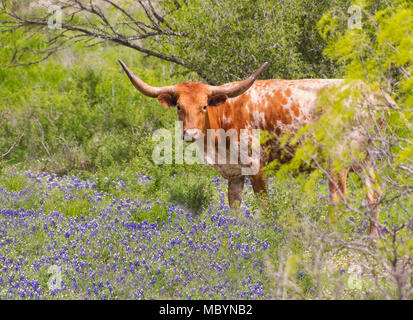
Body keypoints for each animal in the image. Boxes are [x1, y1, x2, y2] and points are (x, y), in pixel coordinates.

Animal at [118, 59, 384, 235]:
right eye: (179, 107)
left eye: (204, 106)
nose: (190, 134)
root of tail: (371, 94)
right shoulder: (235, 174)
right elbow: (235, 206)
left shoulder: (256, 166)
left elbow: (264, 205)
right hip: (365, 159)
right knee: (373, 193)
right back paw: (372, 238)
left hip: (337, 159)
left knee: (339, 196)